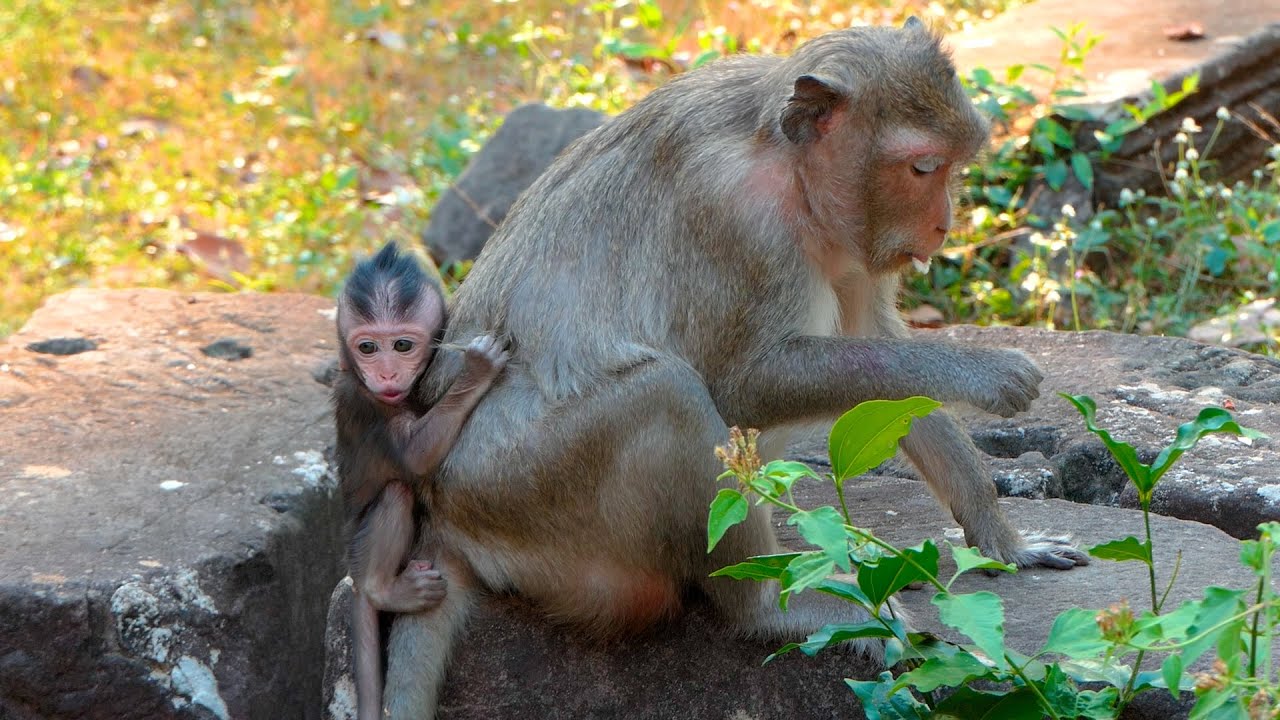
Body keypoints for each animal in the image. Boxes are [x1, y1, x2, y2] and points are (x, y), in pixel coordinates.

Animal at [331, 241, 508, 720]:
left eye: (402, 345)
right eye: (367, 347)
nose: (387, 374)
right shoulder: (372, 405)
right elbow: (416, 457)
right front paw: (475, 372)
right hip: (359, 545)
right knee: (397, 491)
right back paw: (384, 591)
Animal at [380, 19, 1088, 718]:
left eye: (952, 168)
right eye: (922, 167)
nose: (942, 225)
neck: (788, 167)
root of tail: (443, 514)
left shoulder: (855, 243)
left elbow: (884, 356)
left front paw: (1001, 538)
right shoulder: (735, 219)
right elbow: (738, 385)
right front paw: (985, 372)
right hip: (518, 484)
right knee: (669, 392)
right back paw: (773, 610)